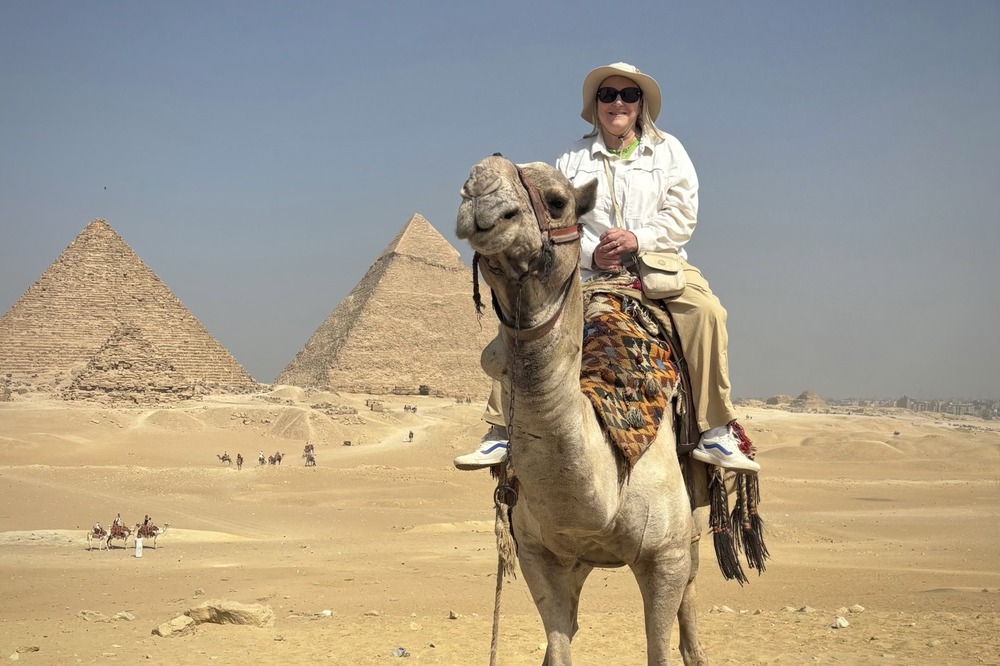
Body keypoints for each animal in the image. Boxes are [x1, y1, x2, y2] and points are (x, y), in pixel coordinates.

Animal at [458, 153, 708, 660]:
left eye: (557, 202)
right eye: (462, 189)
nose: (480, 194)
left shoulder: (665, 558)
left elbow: (660, 651)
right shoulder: (541, 555)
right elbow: (558, 648)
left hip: (690, 529)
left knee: (692, 595)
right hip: (581, 561)